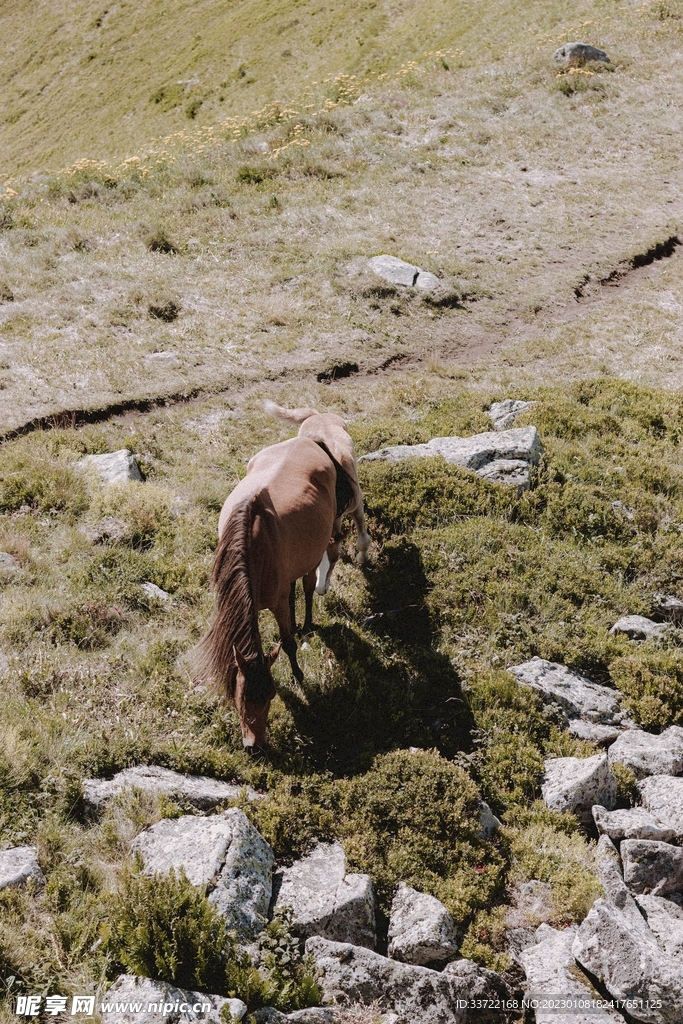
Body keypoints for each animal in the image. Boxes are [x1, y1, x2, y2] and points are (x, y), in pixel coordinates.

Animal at [196, 435, 339, 750]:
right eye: (238, 697)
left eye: (271, 696)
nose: (254, 747)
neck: (253, 544)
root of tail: (307, 439)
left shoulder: (277, 603)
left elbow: (287, 643)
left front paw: (298, 676)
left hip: (314, 554)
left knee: (307, 586)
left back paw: (306, 624)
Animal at [263, 400, 371, 630]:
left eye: (334, 559)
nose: (321, 590)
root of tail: (317, 415)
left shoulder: (357, 506)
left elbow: (362, 540)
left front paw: (362, 559)